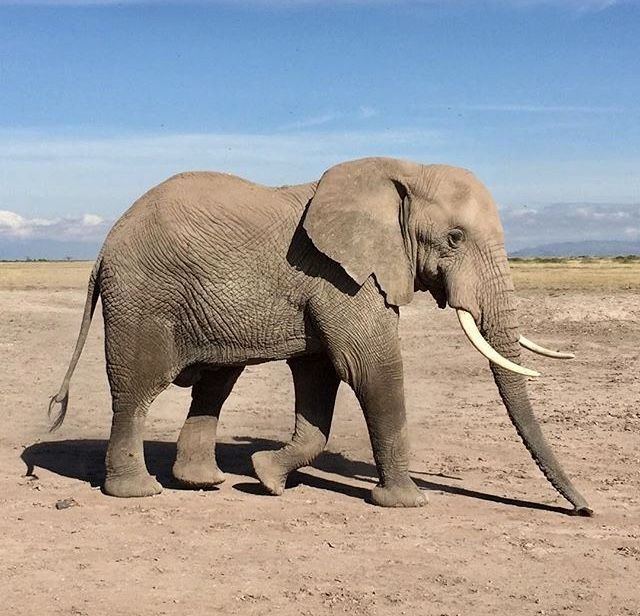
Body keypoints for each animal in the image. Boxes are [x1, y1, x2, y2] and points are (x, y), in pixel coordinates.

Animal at [47, 156, 592, 512]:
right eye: (454, 238)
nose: (584, 510)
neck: (401, 171)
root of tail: (103, 247)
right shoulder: (340, 277)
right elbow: (370, 367)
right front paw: (407, 502)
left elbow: (320, 376)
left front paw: (267, 476)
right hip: (142, 298)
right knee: (136, 389)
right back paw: (138, 492)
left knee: (215, 384)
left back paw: (204, 483)